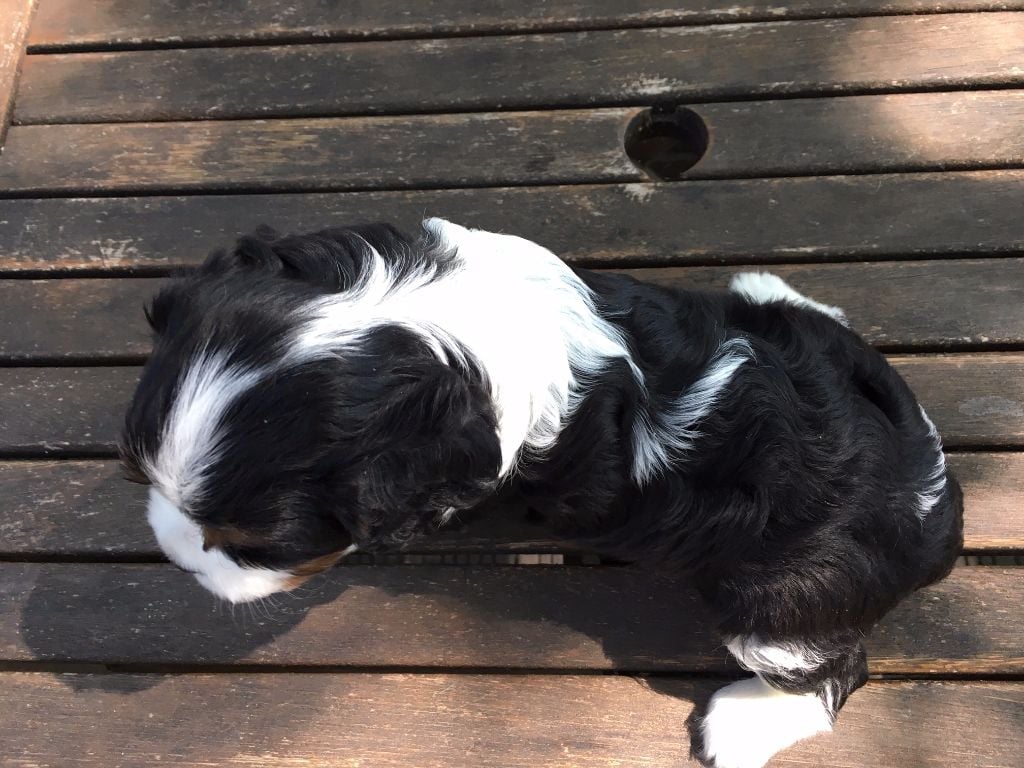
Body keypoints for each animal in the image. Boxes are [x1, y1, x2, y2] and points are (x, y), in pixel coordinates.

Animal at [121, 218, 963, 768]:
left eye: (255, 547)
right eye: (136, 475)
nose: (178, 557)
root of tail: (932, 500)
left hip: (783, 608)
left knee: (834, 672)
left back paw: (739, 727)